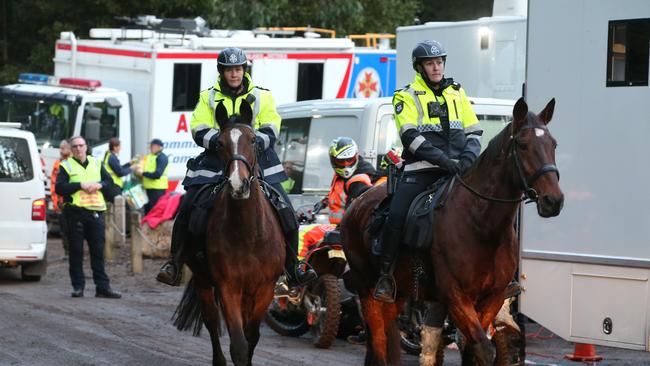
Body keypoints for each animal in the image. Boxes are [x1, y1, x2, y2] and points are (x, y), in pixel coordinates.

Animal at [172, 101, 284, 366]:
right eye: (220, 143)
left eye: (253, 140)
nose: (237, 184)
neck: (249, 234)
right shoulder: (228, 286)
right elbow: (239, 345)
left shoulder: (265, 288)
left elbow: (251, 337)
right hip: (204, 280)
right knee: (211, 320)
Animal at [340, 98, 560, 366]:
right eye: (523, 145)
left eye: (553, 144)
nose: (553, 200)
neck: (482, 225)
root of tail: (357, 203)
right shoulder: (456, 296)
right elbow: (484, 349)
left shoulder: (492, 297)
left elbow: (472, 349)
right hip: (367, 288)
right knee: (379, 340)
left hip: (399, 293)